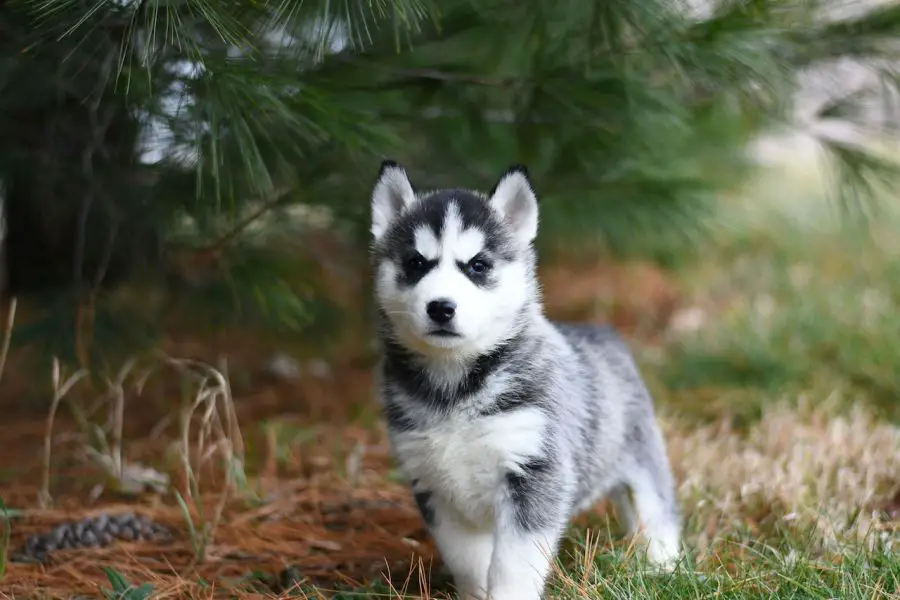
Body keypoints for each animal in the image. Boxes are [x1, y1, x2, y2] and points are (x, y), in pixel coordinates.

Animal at [370, 159, 680, 600]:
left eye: (478, 265)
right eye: (415, 263)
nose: (441, 307)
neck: (455, 387)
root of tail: (601, 331)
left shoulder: (534, 475)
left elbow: (512, 565)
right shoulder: (435, 488)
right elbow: (468, 562)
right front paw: (474, 593)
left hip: (642, 457)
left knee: (658, 509)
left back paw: (662, 566)